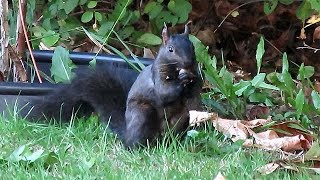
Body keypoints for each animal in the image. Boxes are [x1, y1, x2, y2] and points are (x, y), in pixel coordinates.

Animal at [25, 23, 201, 148]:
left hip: (182, 118)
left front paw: (191, 79)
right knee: (135, 142)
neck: (175, 69)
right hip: (141, 115)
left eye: (192, 47)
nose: (188, 62)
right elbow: (164, 92)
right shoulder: (157, 76)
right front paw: (182, 80)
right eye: (170, 49)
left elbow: (195, 90)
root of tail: (127, 134)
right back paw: (140, 148)